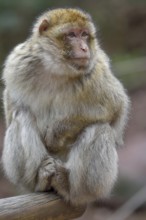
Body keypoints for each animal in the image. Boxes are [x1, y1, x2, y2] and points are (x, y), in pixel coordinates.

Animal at [1, 8, 129, 205]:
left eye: (84, 35)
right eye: (72, 35)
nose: (84, 48)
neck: (57, 69)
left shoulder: (95, 73)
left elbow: (115, 107)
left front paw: (57, 133)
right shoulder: (18, 65)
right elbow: (12, 101)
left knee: (99, 128)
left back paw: (71, 187)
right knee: (21, 115)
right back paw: (40, 180)